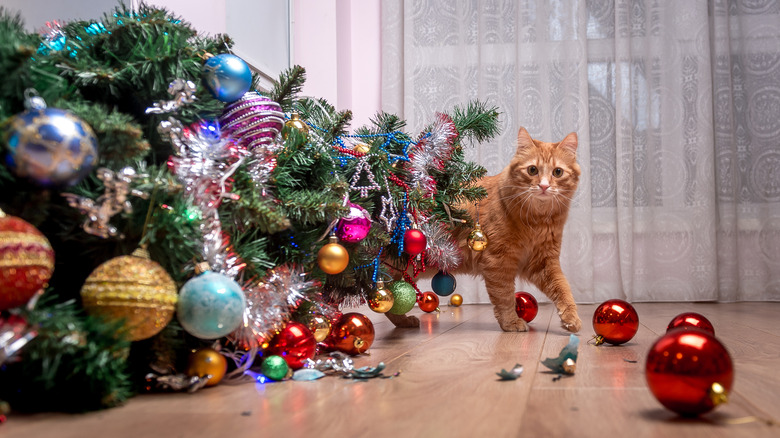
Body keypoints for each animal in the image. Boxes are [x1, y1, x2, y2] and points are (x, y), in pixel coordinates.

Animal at [386, 126, 580, 332]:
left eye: (557, 172)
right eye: (532, 170)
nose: (544, 186)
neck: (537, 221)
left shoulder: (544, 261)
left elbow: (563, 288)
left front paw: (571, 318)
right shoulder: (498, 262)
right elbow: (505, 297)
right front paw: (511, 322)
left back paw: (404, 321)